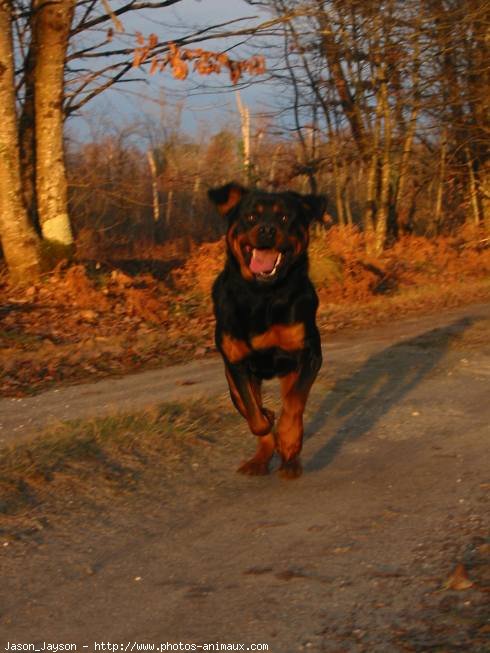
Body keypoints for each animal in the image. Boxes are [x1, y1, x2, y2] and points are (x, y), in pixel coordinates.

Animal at [208, 181, 326, 476]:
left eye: (284, 218)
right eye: (251, 216)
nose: (267, 229)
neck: (261, 295)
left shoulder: (309, 354)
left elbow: (294, 404)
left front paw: (289, 440)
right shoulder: (237, 363)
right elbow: (255, 416)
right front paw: (267, 422)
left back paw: (290, 460)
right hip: (231, 378)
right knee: (251, 408)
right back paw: (259, 460)